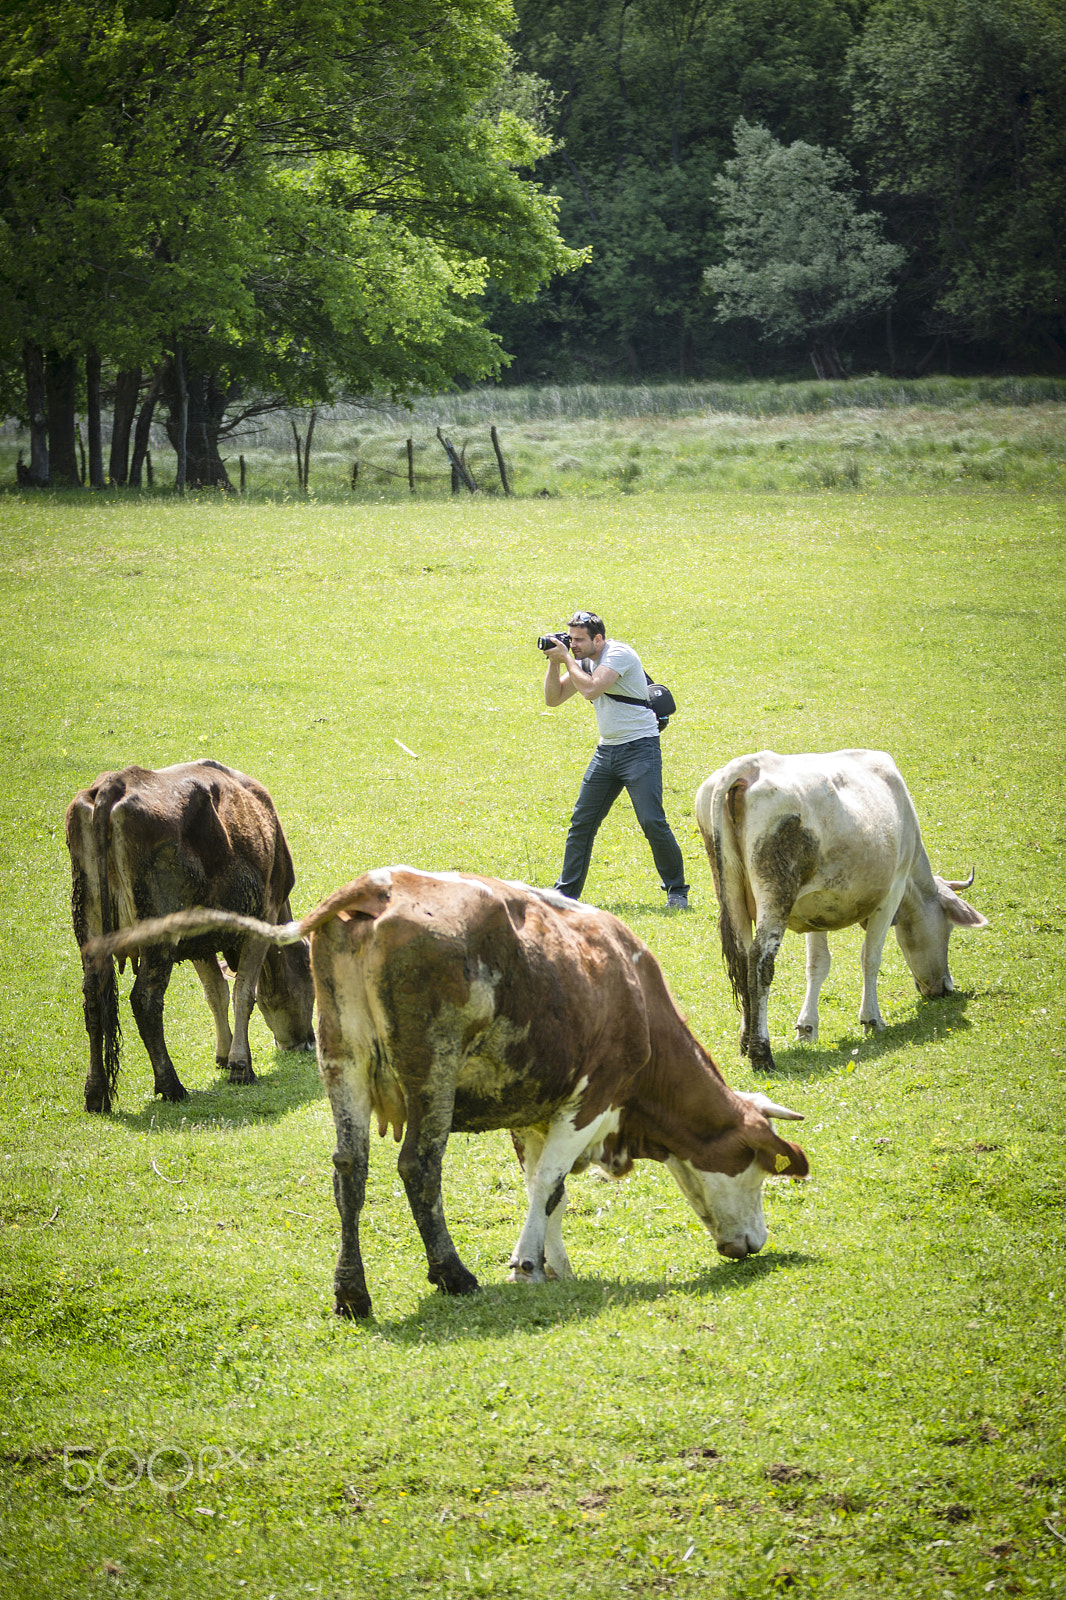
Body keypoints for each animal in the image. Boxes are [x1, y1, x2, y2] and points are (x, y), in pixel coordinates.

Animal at [66, 761, 313, 1113]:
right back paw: (171, 1086)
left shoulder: (199, 938)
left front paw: (224, 1055)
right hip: (159, 930)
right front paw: (241, 1066)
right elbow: (243, 992)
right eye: (308, 972)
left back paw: (96, 1094)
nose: (308, 1042)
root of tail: (116, 782)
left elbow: (216, 991)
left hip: (88, 925)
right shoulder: (261, 915)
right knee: (145, 1000)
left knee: (93, 1001)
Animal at [85, 870, 806, 1318]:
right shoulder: (590, 1099)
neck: (628, 991)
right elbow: (548, 1184)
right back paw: (452, 1273)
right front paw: (526, 1263)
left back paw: (353, 1293)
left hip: (342, 1061)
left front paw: (555, 1263)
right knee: (417, 1166)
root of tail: (379, 888)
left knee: (350, 1168)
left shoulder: (534, 1109)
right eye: (756, 1167)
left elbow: (547, 1189)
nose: (755, 1244)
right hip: (429, 1073)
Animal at [694, 748, 985, 1075]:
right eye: (948, 928)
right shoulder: (892, 891)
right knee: (759, 961)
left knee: (741, 960)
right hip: (776, 892)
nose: (944, 988)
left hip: (731, 895)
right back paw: (761, 1052)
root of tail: (749, 766)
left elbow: (817, 965)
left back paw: (745, 1042)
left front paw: (807, 1028)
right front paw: (872, 1019)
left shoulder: (813, 909)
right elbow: (870, 958)